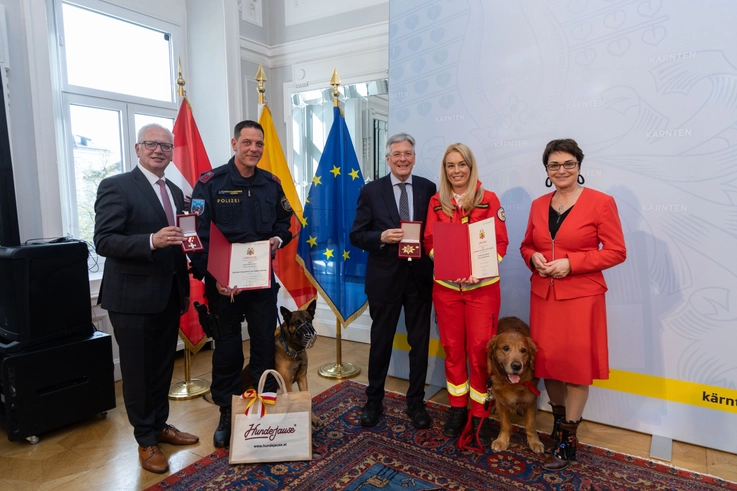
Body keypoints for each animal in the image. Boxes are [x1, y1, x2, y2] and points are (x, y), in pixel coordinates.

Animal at [486, 318, 544, 456]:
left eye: (523, 350)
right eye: (505, 348)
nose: (517, 365)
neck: (513, 385)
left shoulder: (531, 400)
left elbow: (531, 425)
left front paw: (534, 442)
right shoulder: (502, 402)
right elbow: (505, 424)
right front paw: (502, 440)